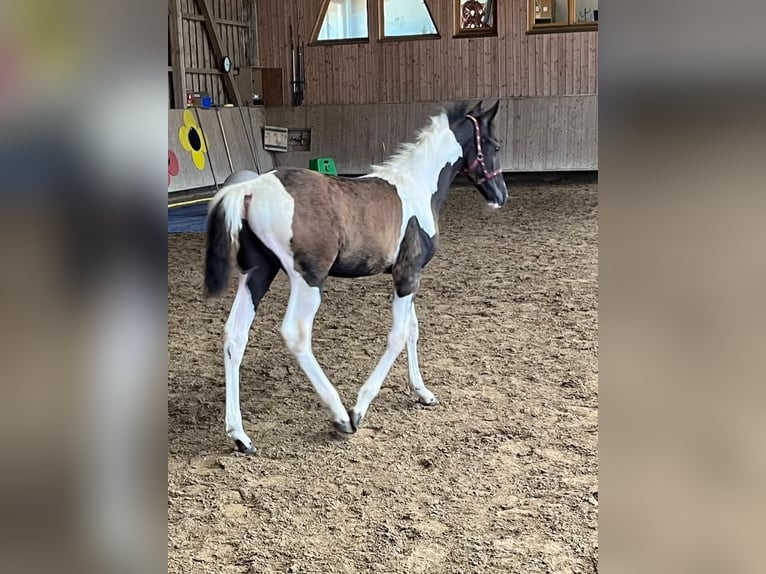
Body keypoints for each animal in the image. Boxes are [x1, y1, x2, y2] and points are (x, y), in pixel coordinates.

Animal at [204, 102, 508, 454]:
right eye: (495, 146)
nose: (501, 196)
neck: (416, 186)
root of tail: (250, 188)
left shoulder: (407, 276)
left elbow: (413, 330)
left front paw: (423, 392)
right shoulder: (407, 275)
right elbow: (398, 336)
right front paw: (359, 408)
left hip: (259, 272)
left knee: (234, 335)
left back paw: (240, 435)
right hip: (308, 279)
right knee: (296, 333)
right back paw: (339, 415)